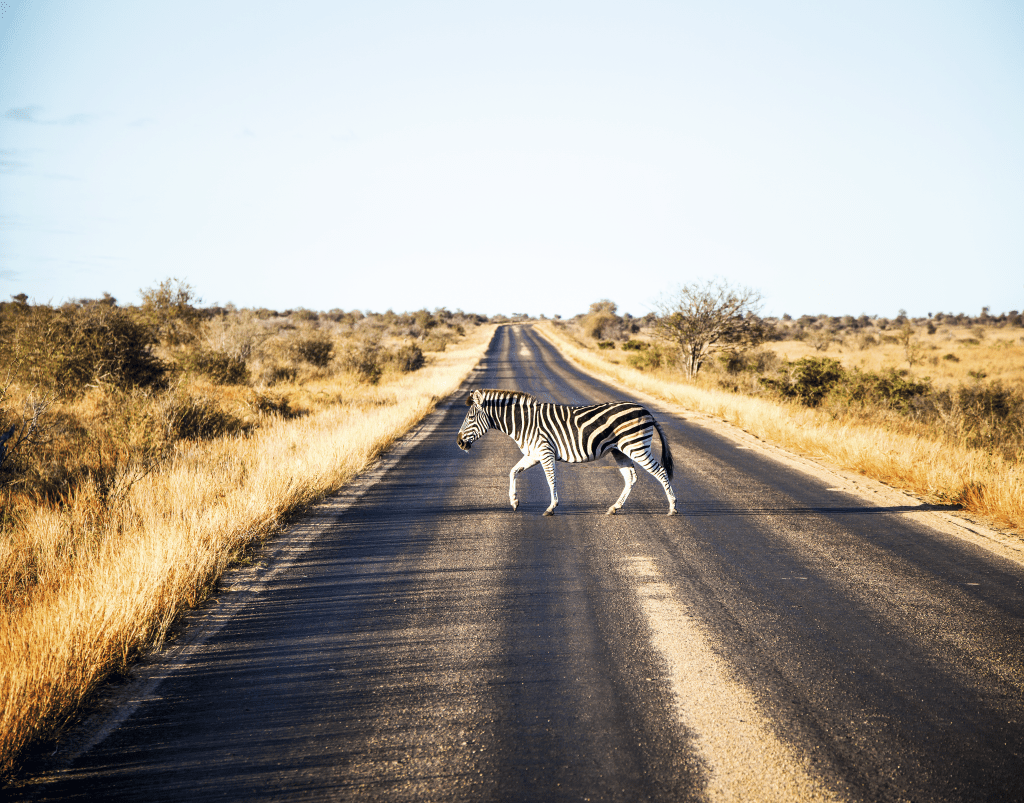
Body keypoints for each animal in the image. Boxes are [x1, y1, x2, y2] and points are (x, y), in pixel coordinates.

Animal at [454, 387, 671, 514]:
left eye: (470, 418)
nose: (459, 443)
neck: (524, 423)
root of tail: (645, 410)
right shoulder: (533, 454)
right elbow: (513, 471)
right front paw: (514, 501)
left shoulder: (545, 451)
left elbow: (551, 479)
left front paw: (551, 507)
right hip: (621, 450)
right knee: (631, 477)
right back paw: (614, 507)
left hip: (637, 446)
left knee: (661, 471)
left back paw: (672, 507)